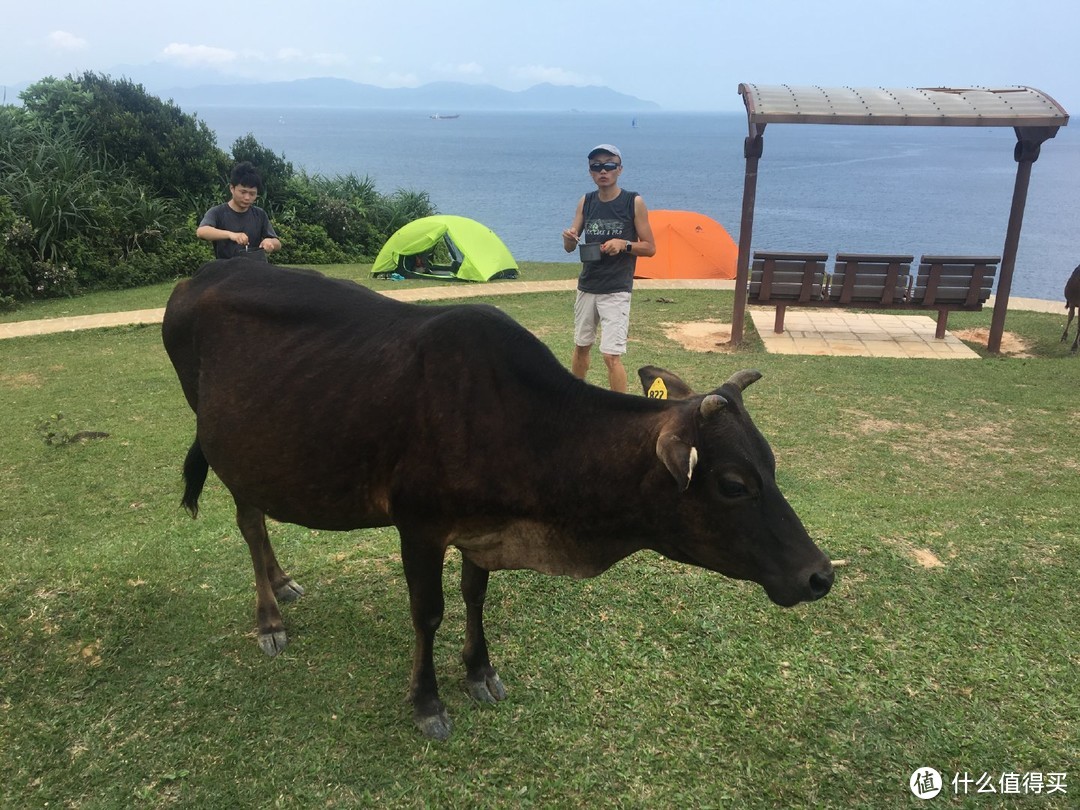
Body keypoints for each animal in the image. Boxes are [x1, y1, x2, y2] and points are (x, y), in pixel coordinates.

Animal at [162, 261, 833, 743]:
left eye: (771, 464)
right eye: (734, 484)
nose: (819, 575)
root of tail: (197, 278)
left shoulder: (482, 528)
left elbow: (474, 596)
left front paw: (480, 671)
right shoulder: (418, 525)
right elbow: (427, 612)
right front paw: (427, 701)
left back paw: (283, 582)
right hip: (230, 451)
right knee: (250, 522)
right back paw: (269, 617)